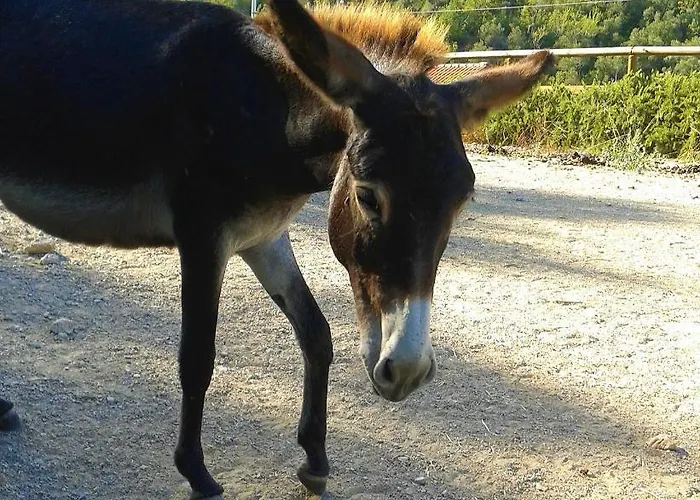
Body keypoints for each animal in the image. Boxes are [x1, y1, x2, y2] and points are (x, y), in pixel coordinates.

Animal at [0, 0, 554, 497]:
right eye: (368, 197)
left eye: (462, 202)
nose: (409, 371)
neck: (264, 112)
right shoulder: (203, 239)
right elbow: (197, 358)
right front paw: (196, 472)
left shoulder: (264, 237)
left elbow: (316, 333)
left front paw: (315, 459)